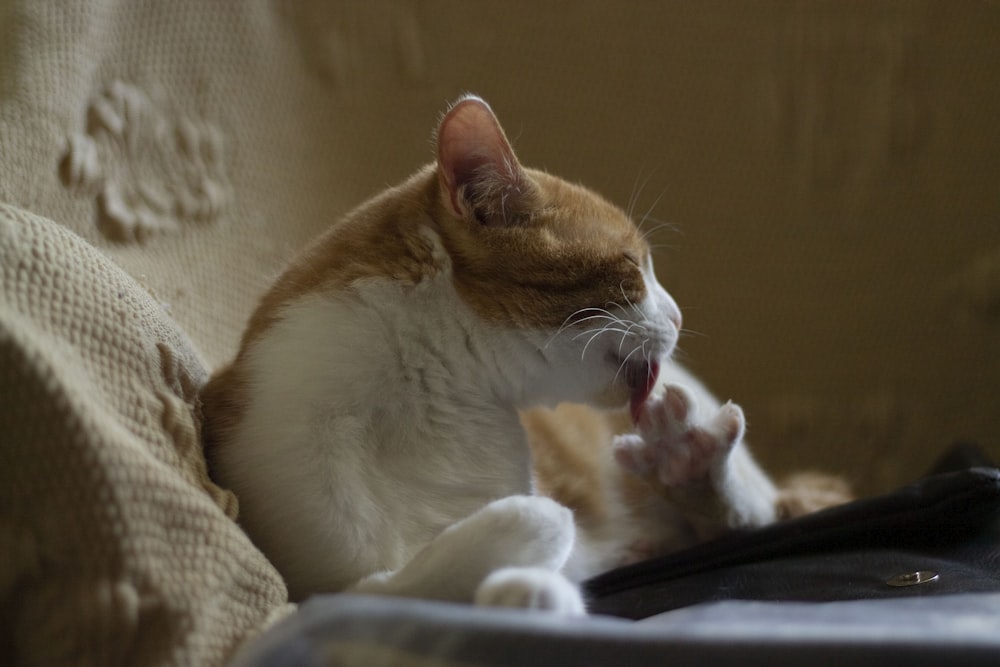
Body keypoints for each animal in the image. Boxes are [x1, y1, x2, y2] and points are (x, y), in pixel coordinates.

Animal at [199, 95, 848, 616]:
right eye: (633, 268)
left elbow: (539, 527)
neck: (431, 392)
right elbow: (377, 587)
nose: (679, 316)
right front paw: (505, 571)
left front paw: (530, 574)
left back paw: (688, 463)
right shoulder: (313, 566)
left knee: (755, 513)